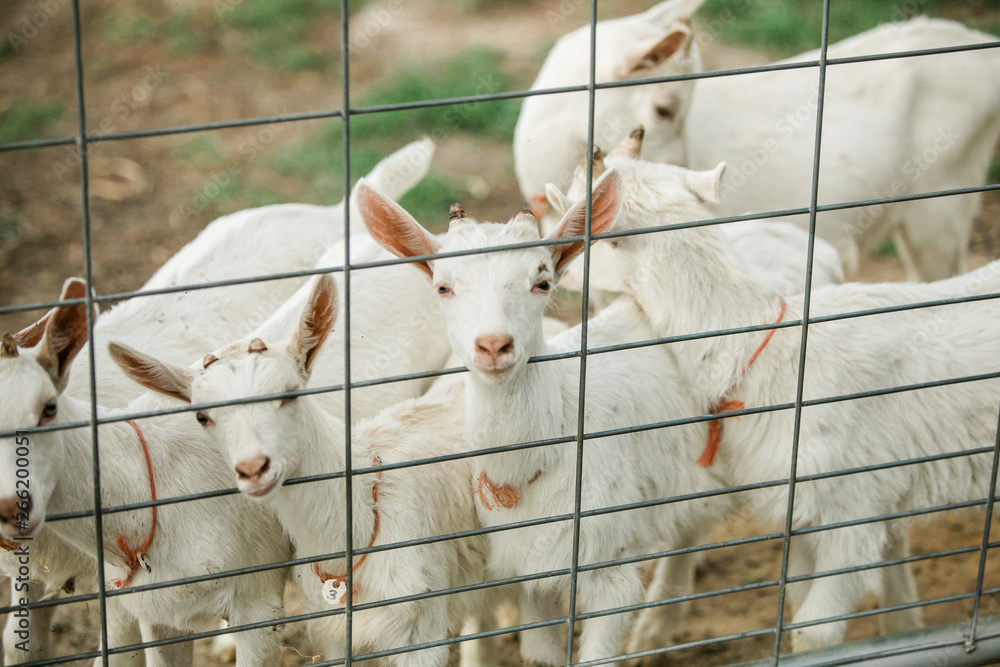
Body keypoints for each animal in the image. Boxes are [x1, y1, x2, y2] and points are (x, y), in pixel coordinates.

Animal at [354, 172, 731, 665]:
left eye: (543, 282)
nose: (494, 345)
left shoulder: (608, 567)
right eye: (443, 287)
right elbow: (539, 654)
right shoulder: (531, 571)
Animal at [549, 146, 1000, 651]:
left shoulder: (850, 512)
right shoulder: (805, 512)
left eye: (576, 216)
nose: (559, 274)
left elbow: (813, 633)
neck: (769, 352)